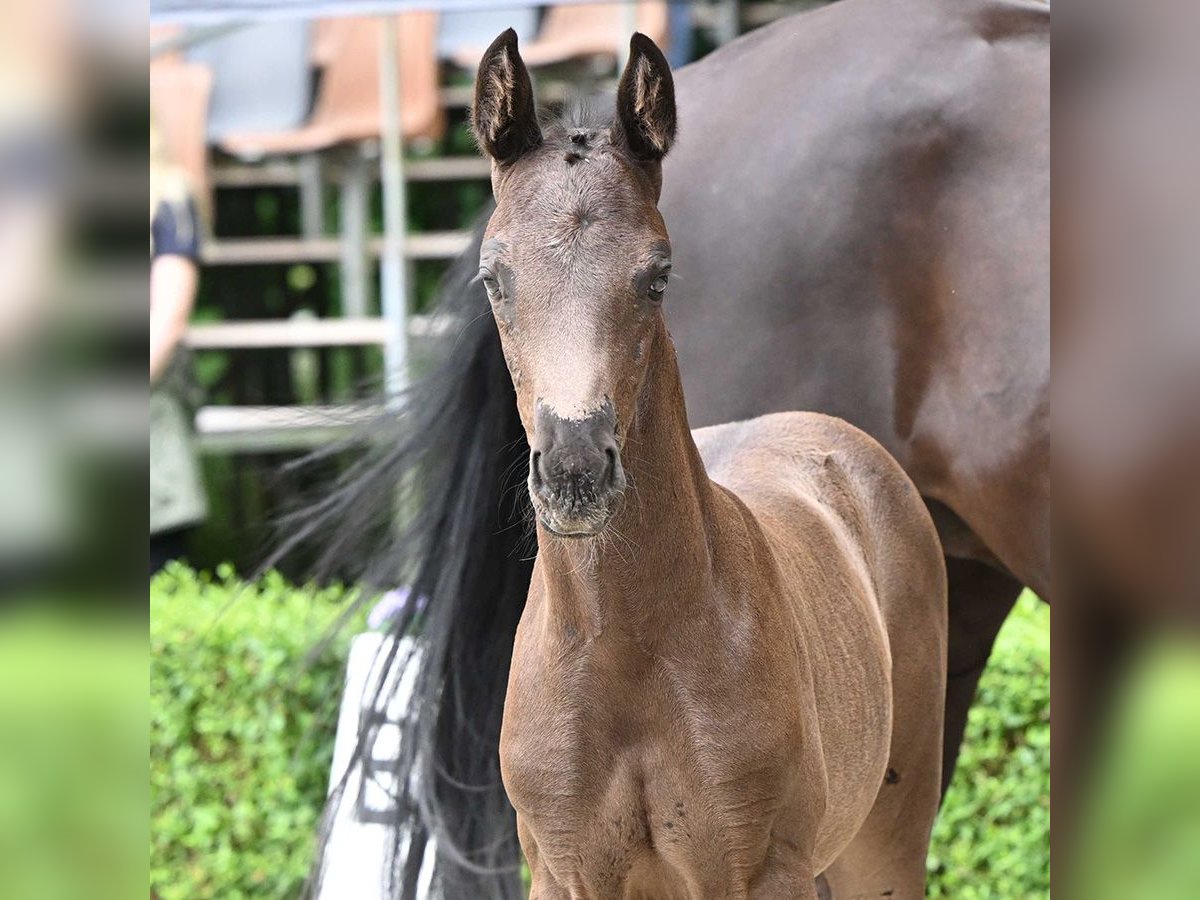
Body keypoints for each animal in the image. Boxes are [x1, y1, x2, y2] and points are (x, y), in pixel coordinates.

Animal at [302, 1, 1051, 897]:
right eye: (494, 279)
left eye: (656, 276)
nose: (576, 469)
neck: (626, 654)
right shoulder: (565, 874)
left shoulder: (759, 873)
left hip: (883, 841)